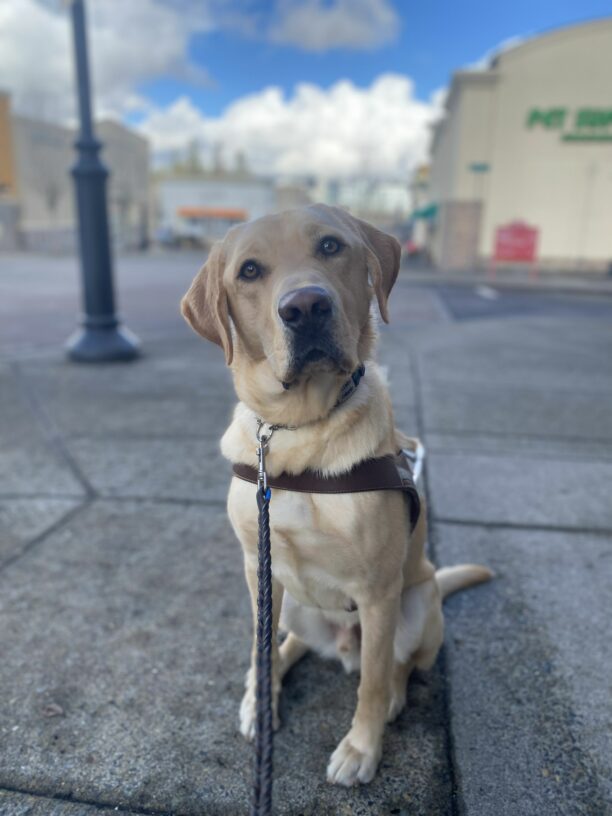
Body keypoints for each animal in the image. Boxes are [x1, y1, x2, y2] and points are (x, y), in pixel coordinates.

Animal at [179, 202, 490, 784]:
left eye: (330, 246)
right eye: (249, 271)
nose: (305, 307)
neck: (298, 431)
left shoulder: (377, 592)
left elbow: (371, 681)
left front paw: (362, 748)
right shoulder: (258, 568)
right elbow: (258, 646)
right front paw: (261, 696)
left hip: (418, 605)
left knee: (394, 665)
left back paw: (392, 700)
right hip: (293, 602)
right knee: (289, 643)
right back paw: (265, 684)